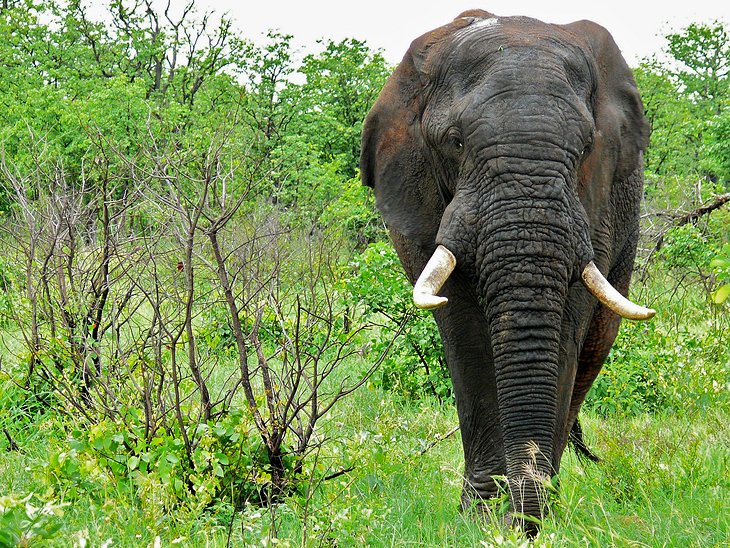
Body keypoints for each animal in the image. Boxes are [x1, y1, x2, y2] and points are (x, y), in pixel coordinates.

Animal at [362, 7, 652, 532]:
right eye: (455, 142)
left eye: (586, 148)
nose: (520, 520)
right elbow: (465, 333)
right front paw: (478, 519)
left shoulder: (593, 206)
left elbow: (566, 329)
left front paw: (529, 520)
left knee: (592, 353)